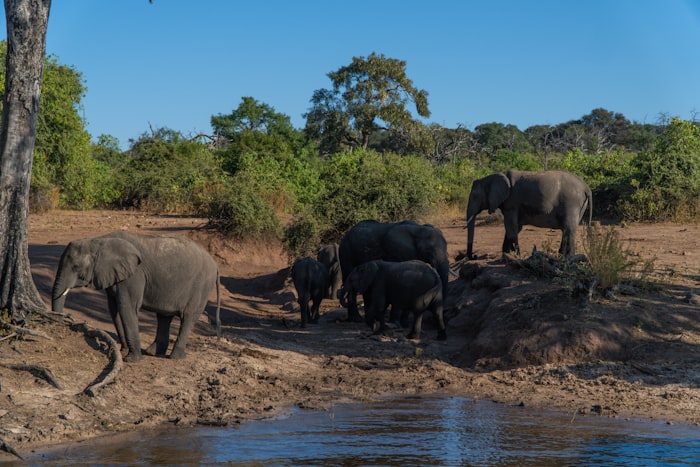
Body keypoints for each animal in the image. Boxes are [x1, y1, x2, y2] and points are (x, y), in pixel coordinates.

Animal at [51, 231, 221, 362]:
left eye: (76, 267)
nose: (63, 319)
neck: (100, 240)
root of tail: (215, 265)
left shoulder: (134, 275)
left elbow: (127, 307)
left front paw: (131, 359)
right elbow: (114, 309)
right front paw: (123, 350)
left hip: (202, 286)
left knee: (188, 317)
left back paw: (175, 357)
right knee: (164, 317)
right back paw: (153, 352)